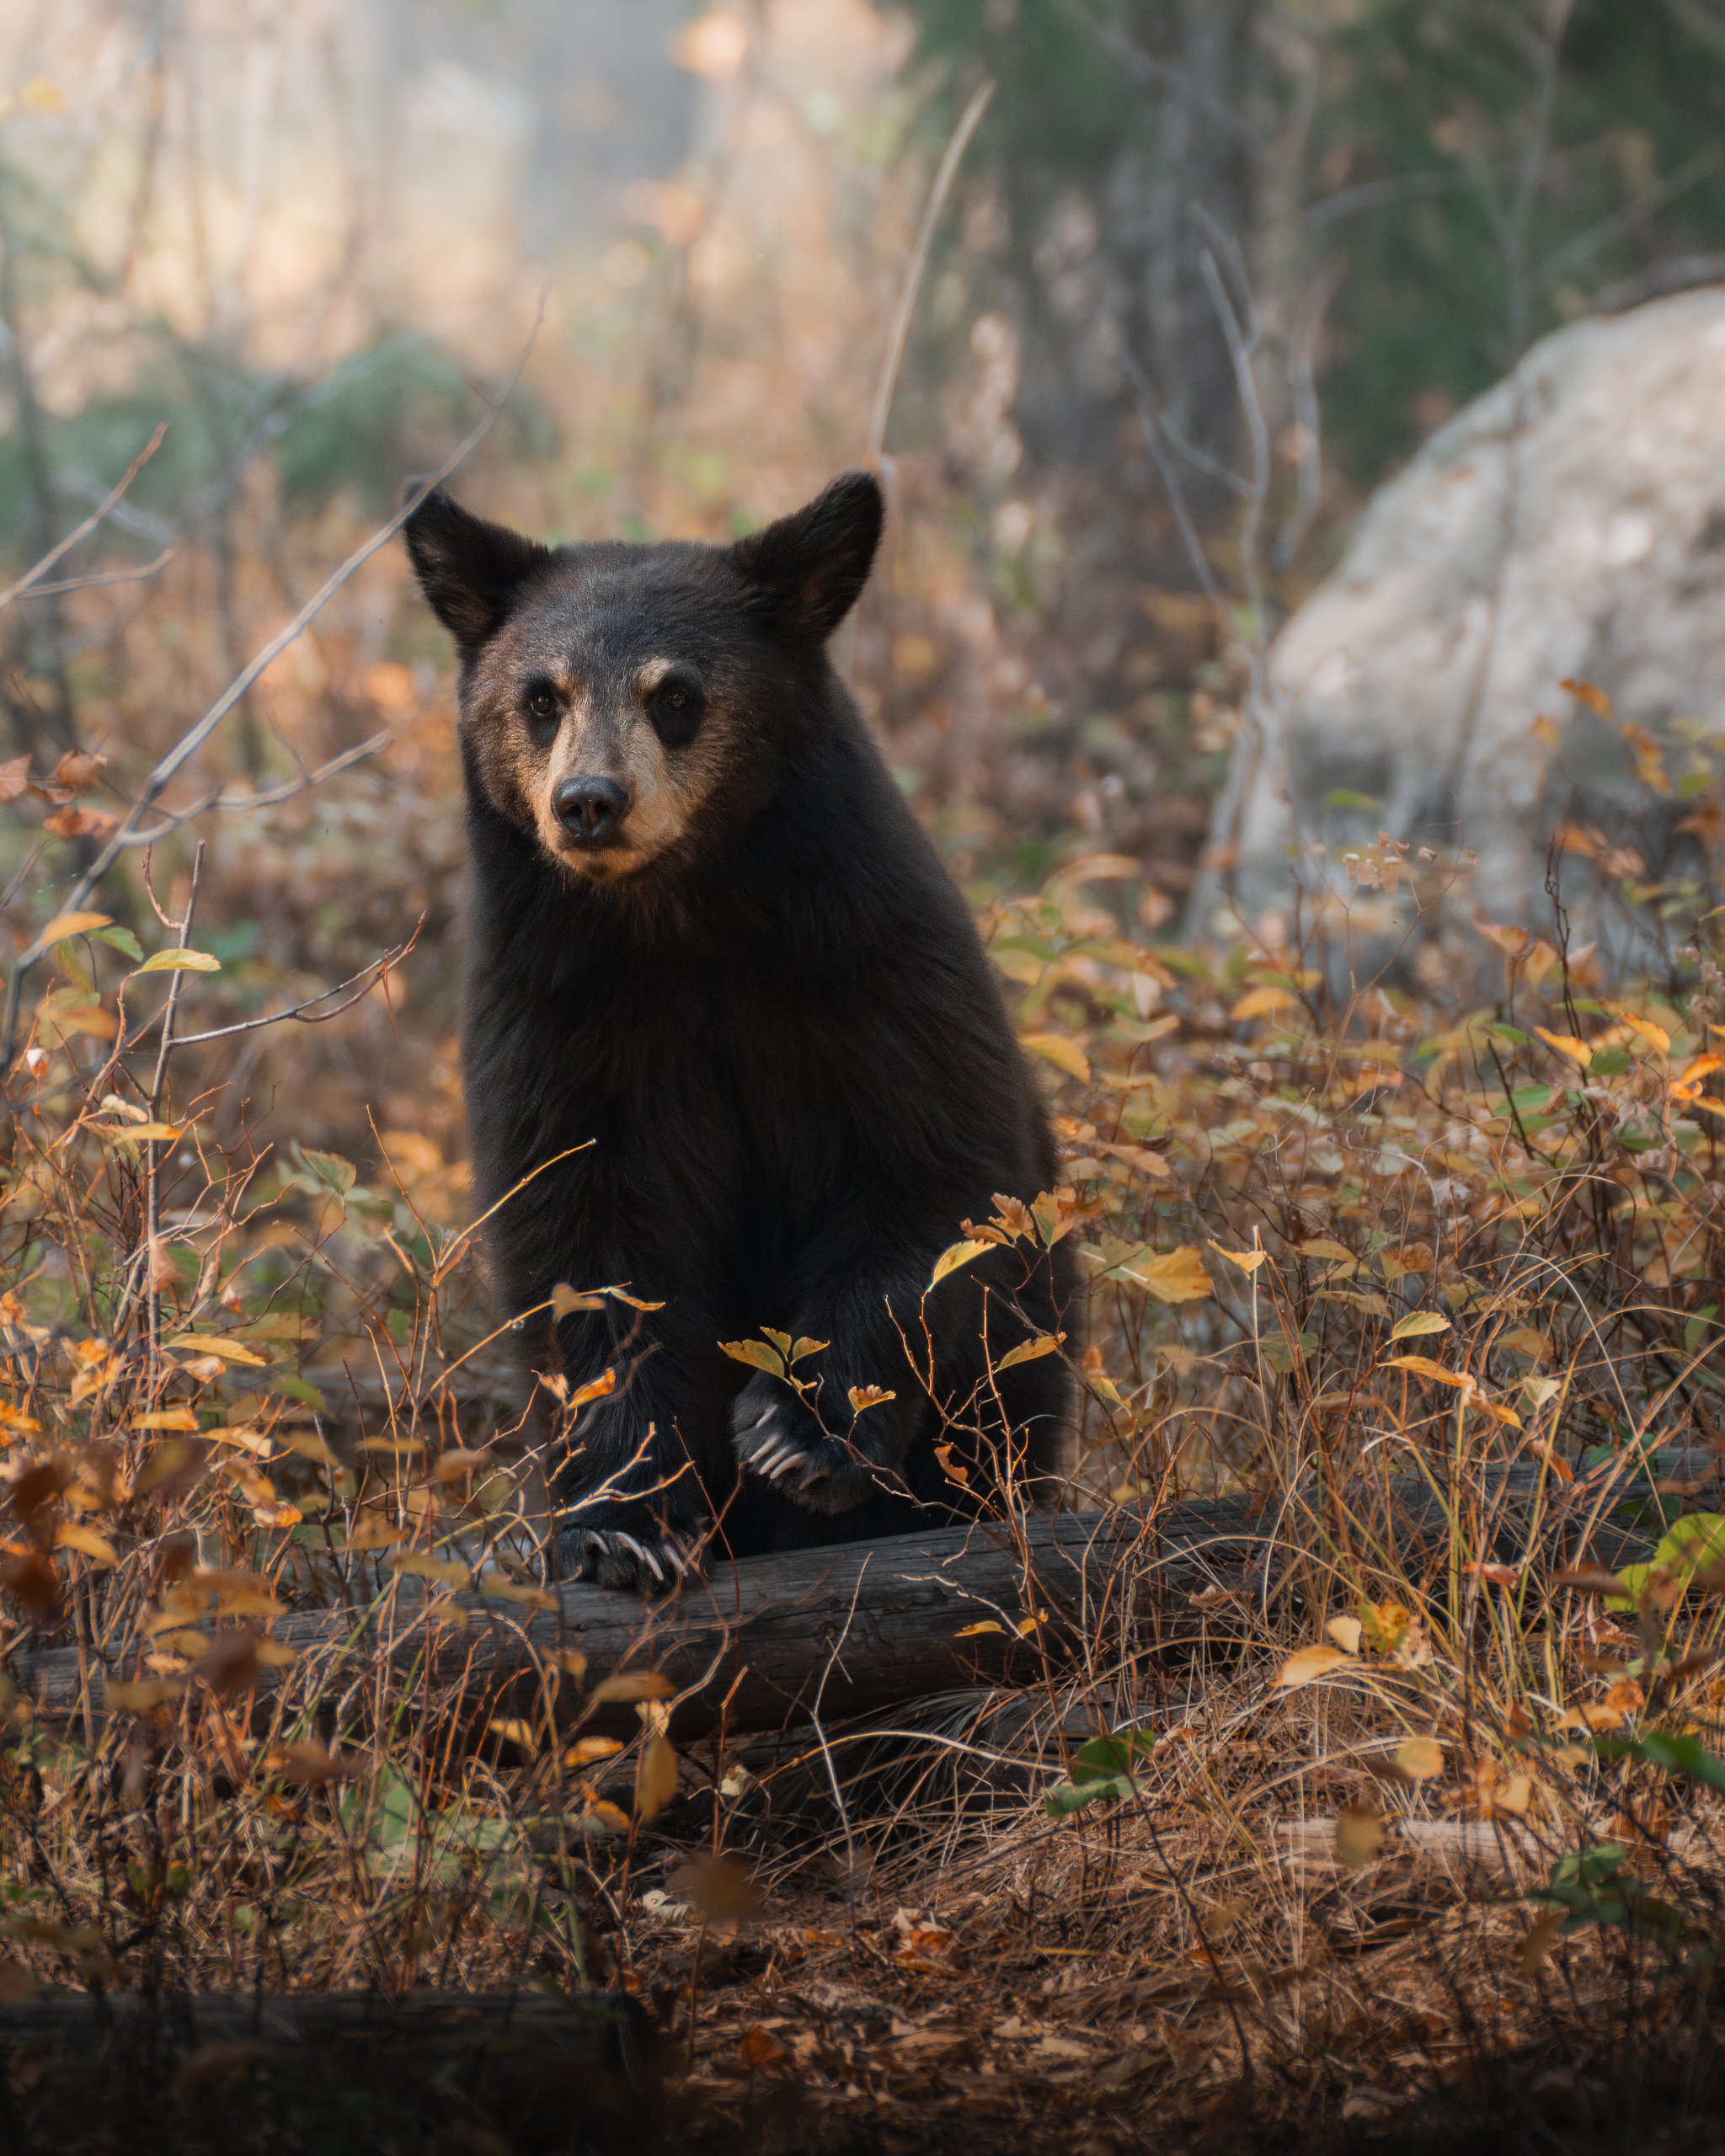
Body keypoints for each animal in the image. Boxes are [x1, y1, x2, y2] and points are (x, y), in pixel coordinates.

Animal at [404, 470, 1077, 1593]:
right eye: (540, 698)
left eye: (675, 697)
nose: (588, 804)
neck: (683, 920)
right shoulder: (552, 1005)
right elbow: (586, 1236)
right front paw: (620, 1528)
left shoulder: (867, 955)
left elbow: (929, 1168)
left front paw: (799, 1432)